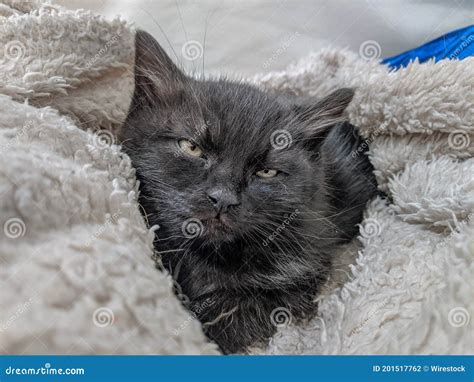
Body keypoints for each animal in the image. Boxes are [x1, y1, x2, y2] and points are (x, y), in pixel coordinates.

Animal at [121, 31, 378, 354]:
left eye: (266, 172)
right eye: (191, 147)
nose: (222, 199)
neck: (211, 253)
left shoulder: (302, 279)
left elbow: (236, 310)